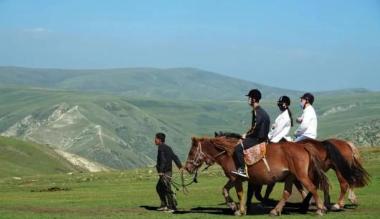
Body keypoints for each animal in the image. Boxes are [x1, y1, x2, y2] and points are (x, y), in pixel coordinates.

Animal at [185, 137, 330, 216]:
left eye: (191, 152)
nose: (187, 168)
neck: (228, 154)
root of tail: (303, 146)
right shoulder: (233, 178)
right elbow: (225, 190)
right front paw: (233, 206)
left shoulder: (236, 179)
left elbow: (240, 193)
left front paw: (240, 210)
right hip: (290, 176)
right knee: (287, 192)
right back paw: (275, 211)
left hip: (301, 175)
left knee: (312, 188)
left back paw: (320, 209)